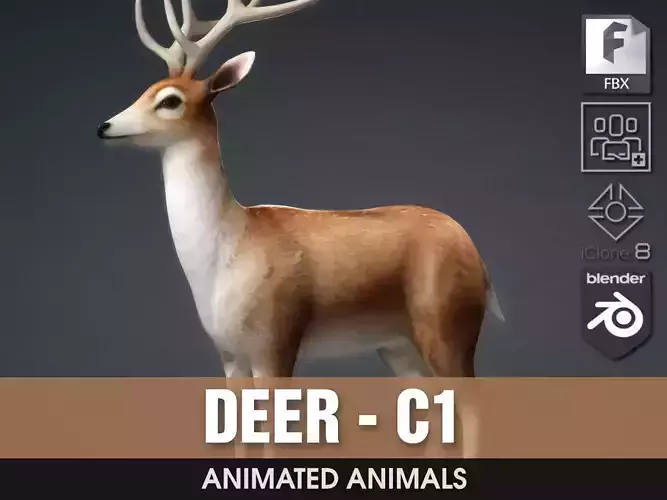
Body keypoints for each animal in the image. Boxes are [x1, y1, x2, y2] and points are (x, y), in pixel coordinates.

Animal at [97, 0, 504, 457]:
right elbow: (239, 436)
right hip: (398, 344)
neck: (231, 248)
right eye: (146, 88)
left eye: (170, 100)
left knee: (474, 405)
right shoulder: (230, 354)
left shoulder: (276, 343)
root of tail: (475, 252)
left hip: (448, 325)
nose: (105, 127)